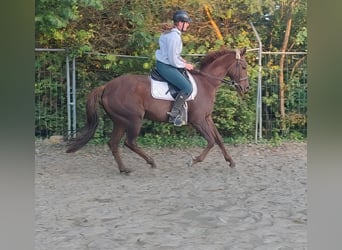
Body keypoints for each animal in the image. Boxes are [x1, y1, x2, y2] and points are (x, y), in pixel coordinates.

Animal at [67, 47, 248, 173]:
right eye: (244, 67)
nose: (246, 88)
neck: (206, 83)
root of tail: (107, 87)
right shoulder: (197, 120)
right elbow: (210, 141)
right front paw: (193, 160)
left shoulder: (207, 118)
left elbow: (219, 139)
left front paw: (231, 161)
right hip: (134, 119)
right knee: (129, 142)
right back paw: (151, 162)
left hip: (120, 121)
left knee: (114, 144)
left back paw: (124, 169)